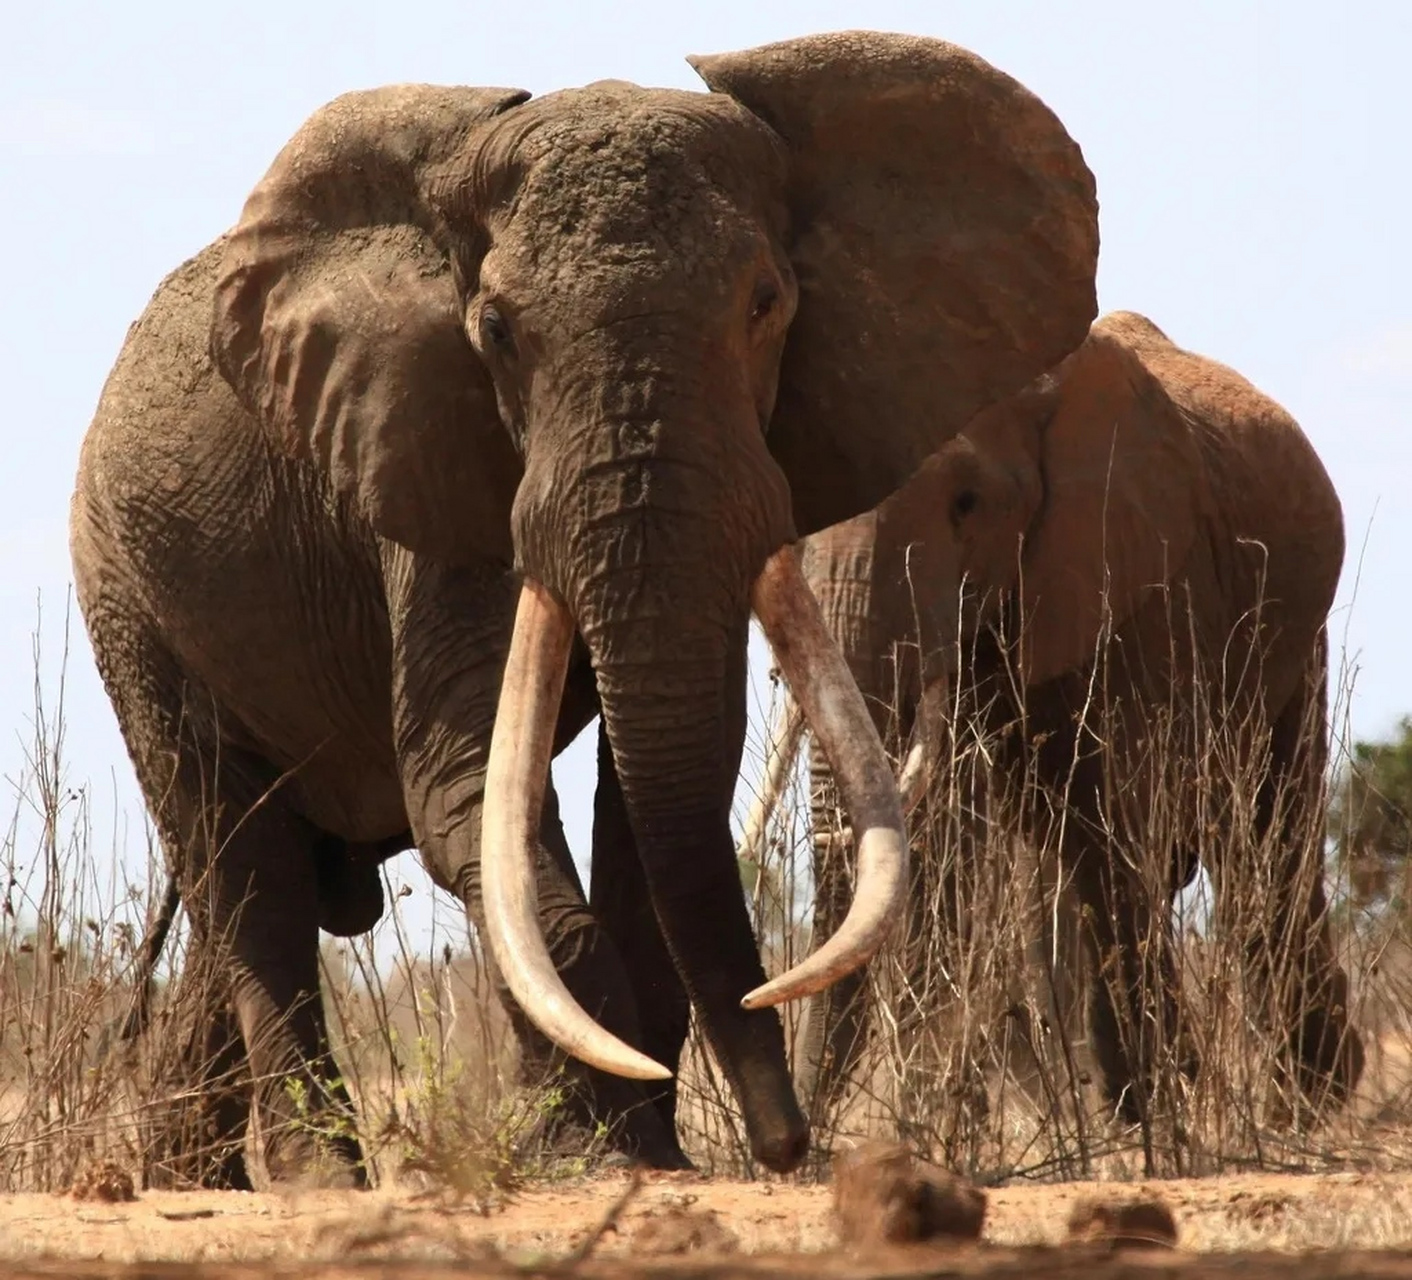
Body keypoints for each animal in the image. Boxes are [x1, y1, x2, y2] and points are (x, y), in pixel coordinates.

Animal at [69, 31, 1099, 1187]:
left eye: (765, 303)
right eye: (495, 330)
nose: (785, 1143)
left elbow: (656, 788)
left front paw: (651, 1150)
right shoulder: (431, 458)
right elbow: (465, 781)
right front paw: (599, 1150)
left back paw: (182, 1175)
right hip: (124, 588)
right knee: (242, 866)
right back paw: (311, 1176)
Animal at [749, 310, 1363, 1132]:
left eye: (967, 503)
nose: (803, 1141)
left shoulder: (1141, 576)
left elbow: (1112, 820)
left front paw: (1158, 1111)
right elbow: (949, 842)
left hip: (1297, 637)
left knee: (1264, 840)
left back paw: (1303, 1104)